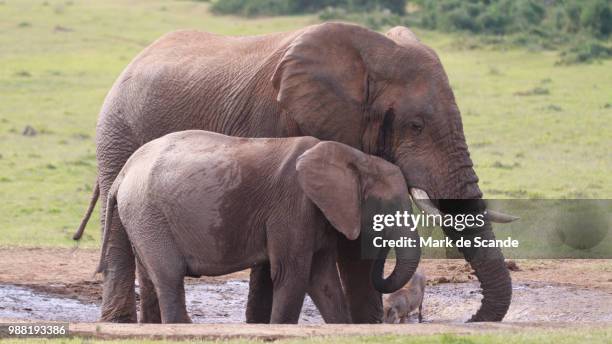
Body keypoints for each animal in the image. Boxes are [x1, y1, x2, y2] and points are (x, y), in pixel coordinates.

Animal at [97, 130, 420, 324]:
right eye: (387, 205)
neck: (354, 157)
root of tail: (124, 173)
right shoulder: (293, 206)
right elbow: (292, 274)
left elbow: (323, 280)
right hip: (147, 212)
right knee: (169, 275)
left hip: (141, 217)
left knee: (153, 276)